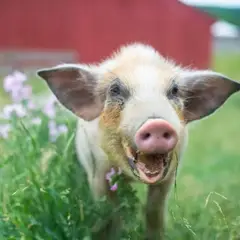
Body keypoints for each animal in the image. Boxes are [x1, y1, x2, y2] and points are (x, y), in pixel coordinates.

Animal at [37, 43, 240, 240]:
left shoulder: (169, 176)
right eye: (115, 90)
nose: (157, 124)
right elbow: (108, 212)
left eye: (174, 91)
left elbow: (154, 210)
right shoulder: (98, 172)